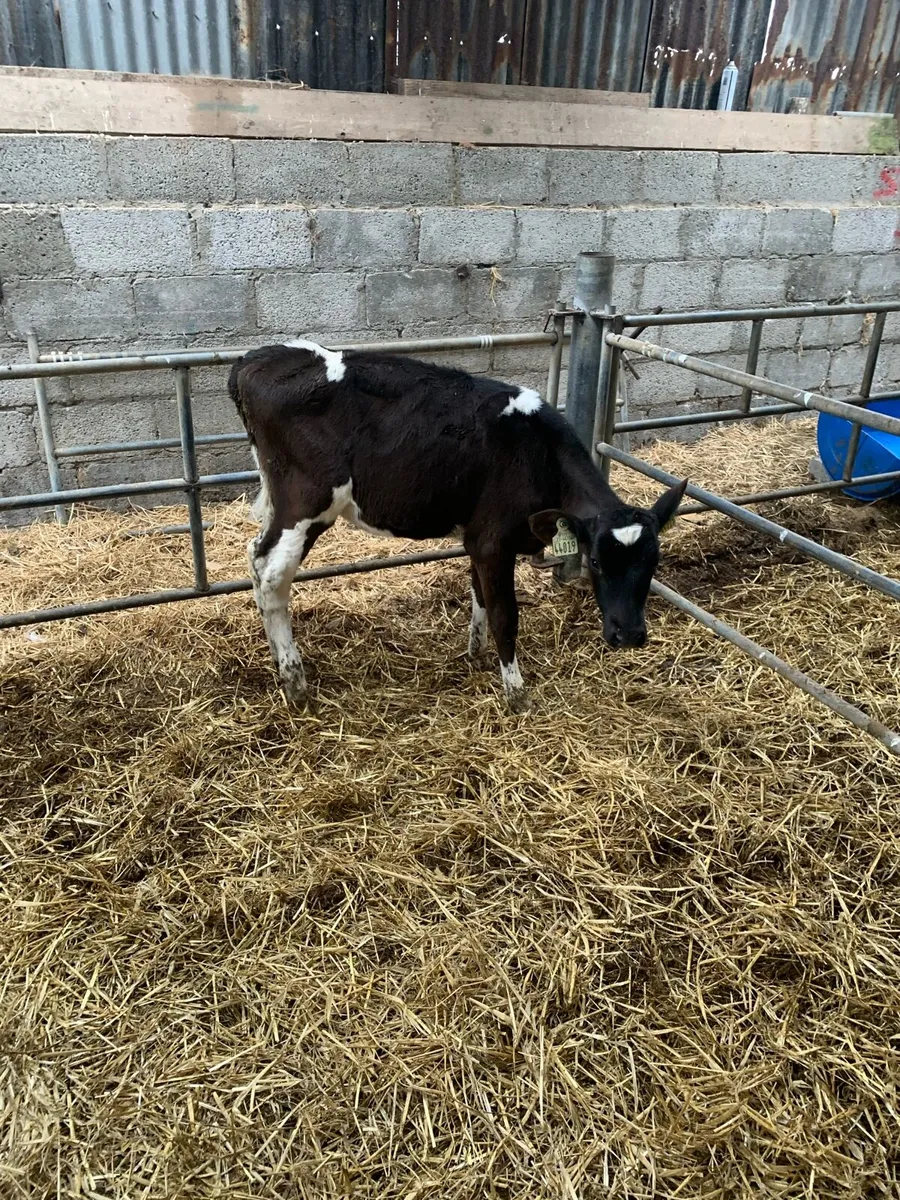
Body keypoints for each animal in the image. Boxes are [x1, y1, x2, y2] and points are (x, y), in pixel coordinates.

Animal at [228, 339, 686, 712]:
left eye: (654, 564)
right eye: (594, 561)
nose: (629, 635)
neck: (536, 453)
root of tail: (257, 358)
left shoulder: (476, 538)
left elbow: (479, 594)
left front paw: (475, 654)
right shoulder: (493, 542)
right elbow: (505, 614)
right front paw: (517, 693)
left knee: (254, 556)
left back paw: (278, 662)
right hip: (306, 502)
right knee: (272, 572)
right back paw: (295, 682)